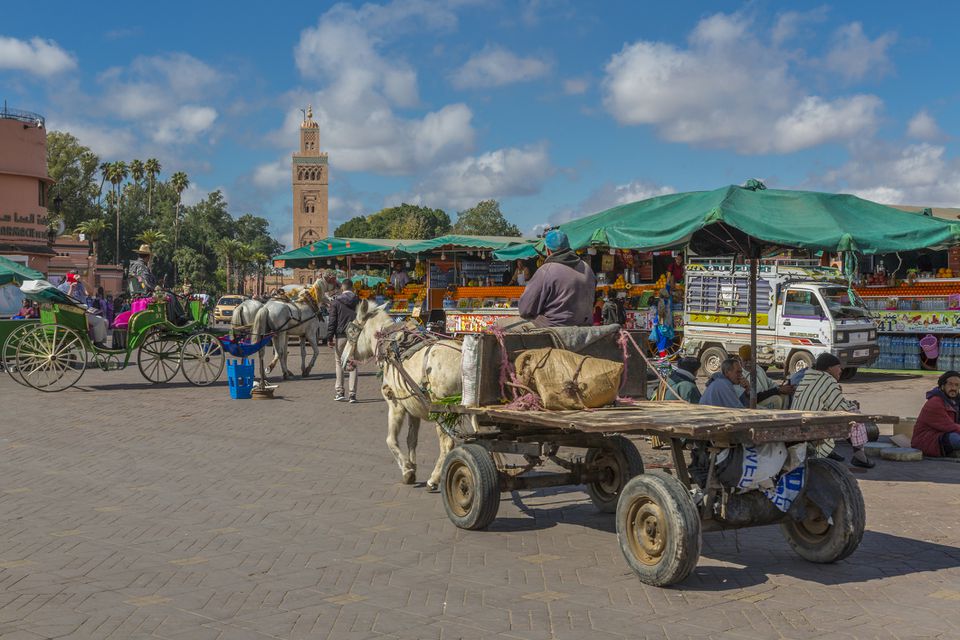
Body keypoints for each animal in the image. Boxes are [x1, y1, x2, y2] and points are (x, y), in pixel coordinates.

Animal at [340, 300, 464, 490]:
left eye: (351, 332)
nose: (343, 360)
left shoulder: (395, 404)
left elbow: (390, 440)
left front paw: (407, 471)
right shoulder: (414, 408)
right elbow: (411, 439)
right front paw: (412, 466)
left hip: (443, 410)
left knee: (447, 444)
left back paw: (434, 479)